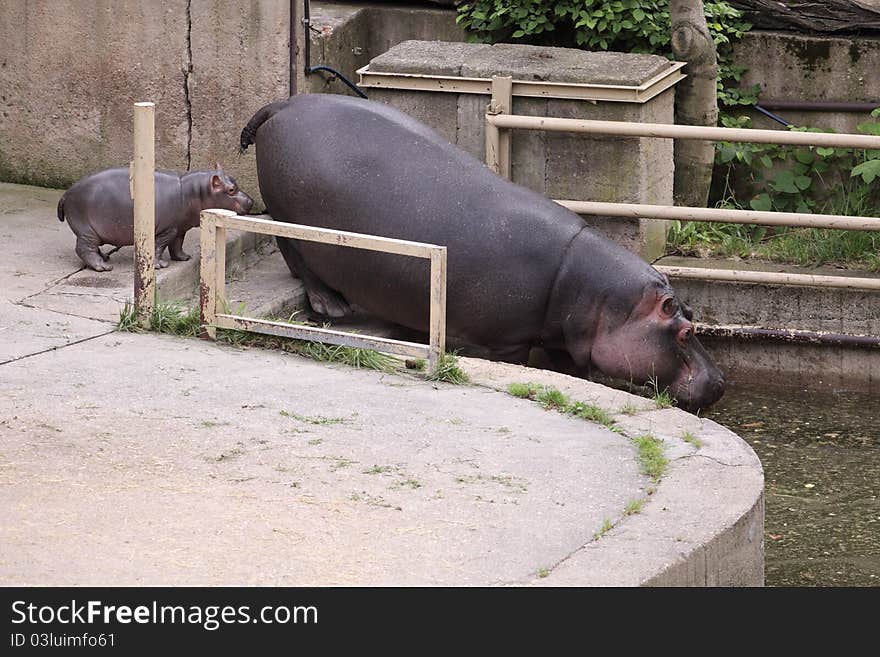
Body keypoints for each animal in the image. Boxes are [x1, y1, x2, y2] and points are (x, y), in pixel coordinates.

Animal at [58, 165, 253, 270]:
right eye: (231, 190)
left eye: (235, 182)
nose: (251, 201)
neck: (193, 192)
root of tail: (65, 194)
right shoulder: (167, 230)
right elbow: (159, 246)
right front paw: (160, 265)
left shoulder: (179, 228)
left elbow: (177, 244)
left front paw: (184, 257)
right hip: (87, 231)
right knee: (84, 249)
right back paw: (104, 267)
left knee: (91, 248)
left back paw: (105, 257)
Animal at [241, 94, 720, 408]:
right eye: (686, 331)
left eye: (695, 317)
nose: (720, 381)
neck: (595, 290)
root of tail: (281, 105)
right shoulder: (509, 340)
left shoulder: (567, 340)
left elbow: (573, 370)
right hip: (291, 220)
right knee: (299, 258)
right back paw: (333, 308)